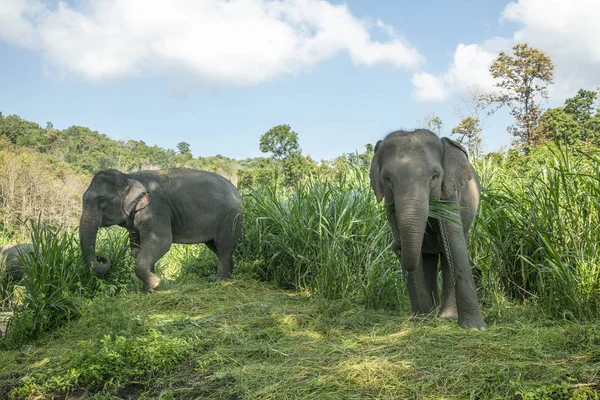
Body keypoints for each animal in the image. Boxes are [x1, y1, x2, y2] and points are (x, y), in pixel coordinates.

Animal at [79, 167, 244, 292]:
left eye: (102, 200)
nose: (101, 257)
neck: (129, 176)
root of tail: (237, 192)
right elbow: (137, 248)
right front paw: (150, 289)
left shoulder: (155, 209)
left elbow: (162, 242)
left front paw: (156, 283)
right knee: (216, 247)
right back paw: (229, 275)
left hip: (230, 217)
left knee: (223, 248)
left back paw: (220, 280)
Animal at [370, 130, 488, 330]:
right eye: (387, 179)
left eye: (435, 176)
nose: (396, 245)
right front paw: (421, 320)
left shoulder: (450, 192)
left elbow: (454, 242)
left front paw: (475, 328)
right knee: (429, 259)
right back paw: (433, 314)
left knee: (447, 258)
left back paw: (446, 317)